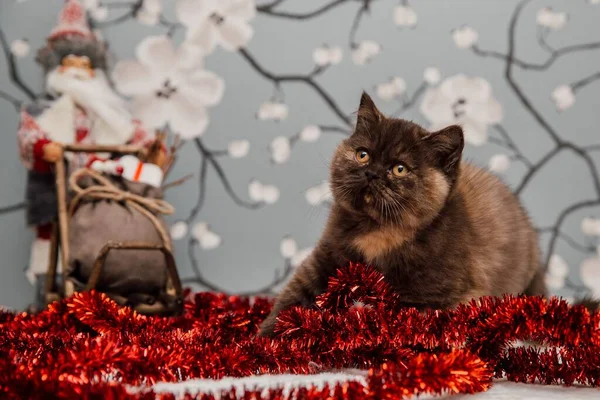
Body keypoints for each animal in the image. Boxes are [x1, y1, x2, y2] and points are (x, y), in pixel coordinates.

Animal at [258, 92, 544, 336]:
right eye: (363, 155)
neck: (380, 231)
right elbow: (296, 295)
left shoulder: (436, 297)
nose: (371, 173)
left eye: (399, 169)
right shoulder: (327, 257)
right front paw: (267, 339)